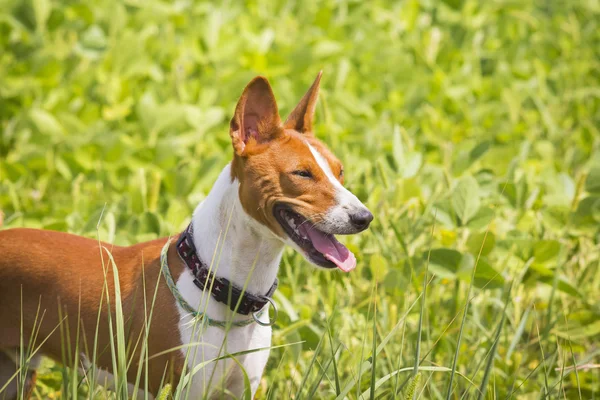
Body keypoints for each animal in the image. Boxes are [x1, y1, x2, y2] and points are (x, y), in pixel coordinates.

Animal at [0, 72, 372, 400]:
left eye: (340, 172)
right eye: (302, 173)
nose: (364, 217)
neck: (218, 283)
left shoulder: (241, 389)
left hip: (16, 374)